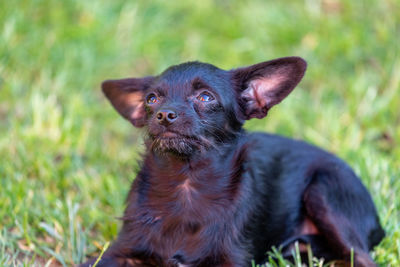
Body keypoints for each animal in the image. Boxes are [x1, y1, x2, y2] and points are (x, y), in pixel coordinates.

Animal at [79, 57, 382, 266]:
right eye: (151, 99)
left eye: (205, 97)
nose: (164, 114)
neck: (186, 185)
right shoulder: (121, 251)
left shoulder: (232, 259)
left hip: (325, 193)